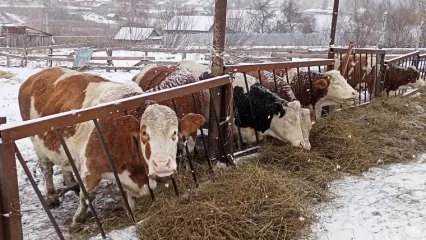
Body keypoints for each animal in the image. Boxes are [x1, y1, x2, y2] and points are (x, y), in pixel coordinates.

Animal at [19, 67, 206, 227]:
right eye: (144, 133)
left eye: (175, 132)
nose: (162, 165)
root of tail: (35, 76)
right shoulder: (91, 167)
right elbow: (88, 196)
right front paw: (77, 220)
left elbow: (126, 196)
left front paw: (131, 212)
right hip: (38, 144)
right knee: (46, 168)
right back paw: (52, 197)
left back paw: (71, 183)